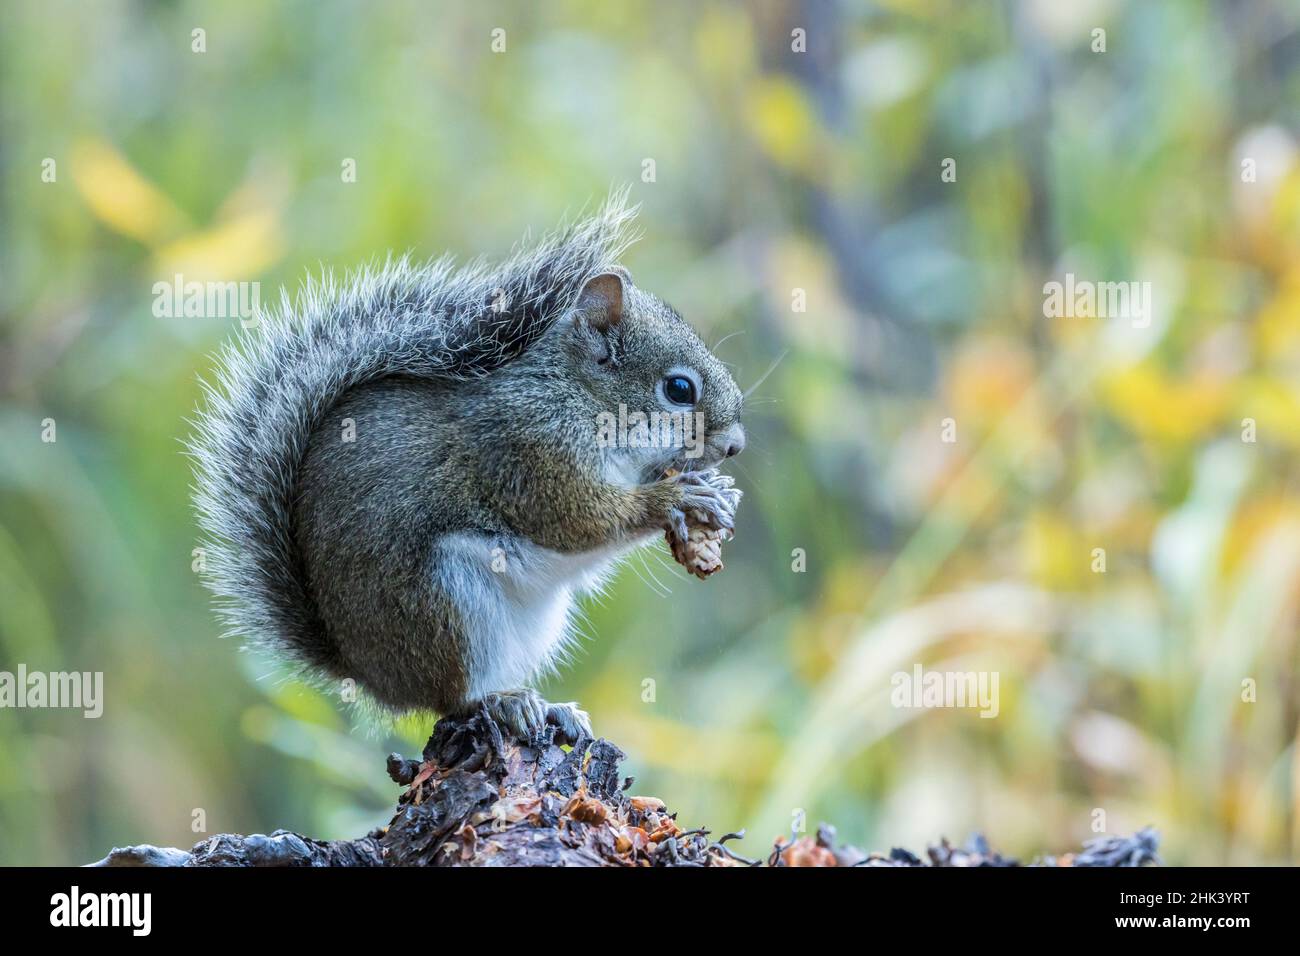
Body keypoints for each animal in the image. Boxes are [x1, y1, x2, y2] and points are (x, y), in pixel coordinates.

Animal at [188, 192, 748, 749]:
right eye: (679, 389)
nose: (735, 446)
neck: (580, 396)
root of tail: (371, 675)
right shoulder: (526, 451)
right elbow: (579, 519)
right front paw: (675, 499)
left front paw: (715, 490)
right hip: (447, 604)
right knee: (453, 698)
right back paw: (502, 703)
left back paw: (553, 709)